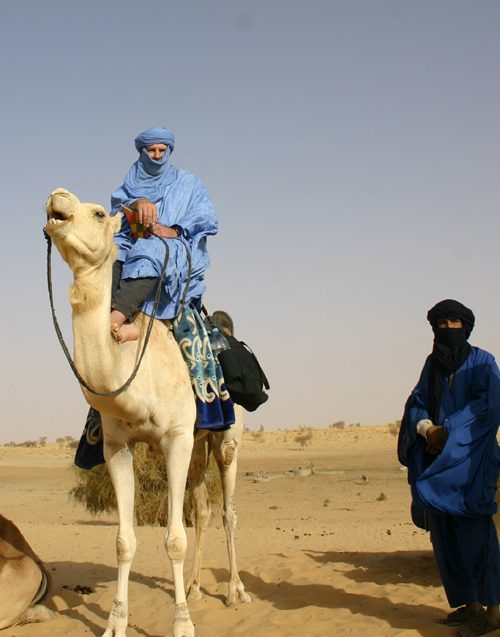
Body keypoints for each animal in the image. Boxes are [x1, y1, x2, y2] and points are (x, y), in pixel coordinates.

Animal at [45, 189, 250, 636]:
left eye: (98, 213)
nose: (57, 198)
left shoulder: (174, 437)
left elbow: (174, 538)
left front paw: (182, 624)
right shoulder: (118, 445)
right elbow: (124, 541)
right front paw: (115, 623)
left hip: (226, 437)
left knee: (228, 511)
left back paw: (234, 591)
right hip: (196, 443)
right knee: (203, 510)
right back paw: (194, 587)